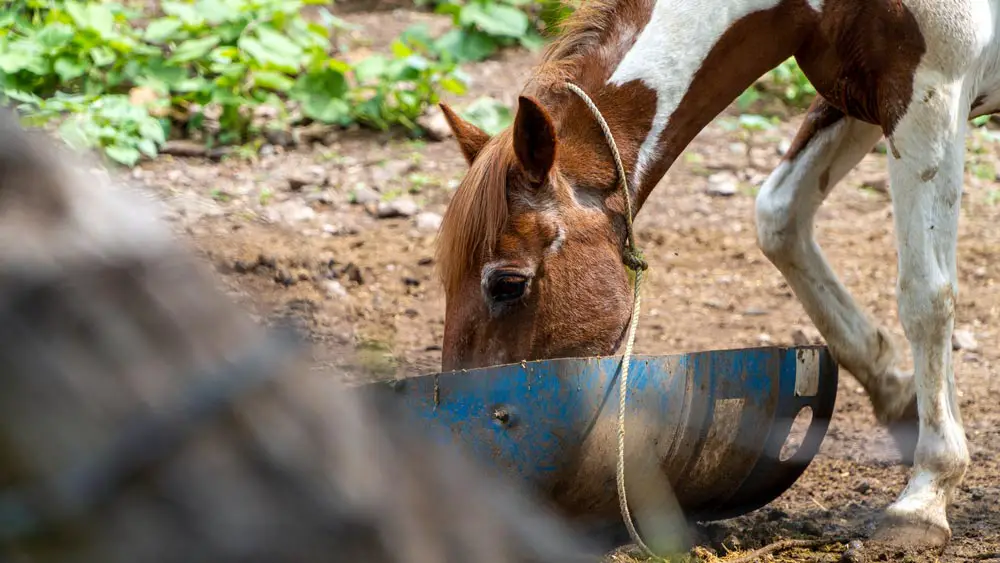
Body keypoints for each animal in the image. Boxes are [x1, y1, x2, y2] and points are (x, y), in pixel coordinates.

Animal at [438, 0, 992, 552]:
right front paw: (897, 394)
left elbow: (926, 295)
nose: (469, 466)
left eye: (507, 284)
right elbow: (778, 218)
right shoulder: (857, 97)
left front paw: (926, 492)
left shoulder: (928, 96)